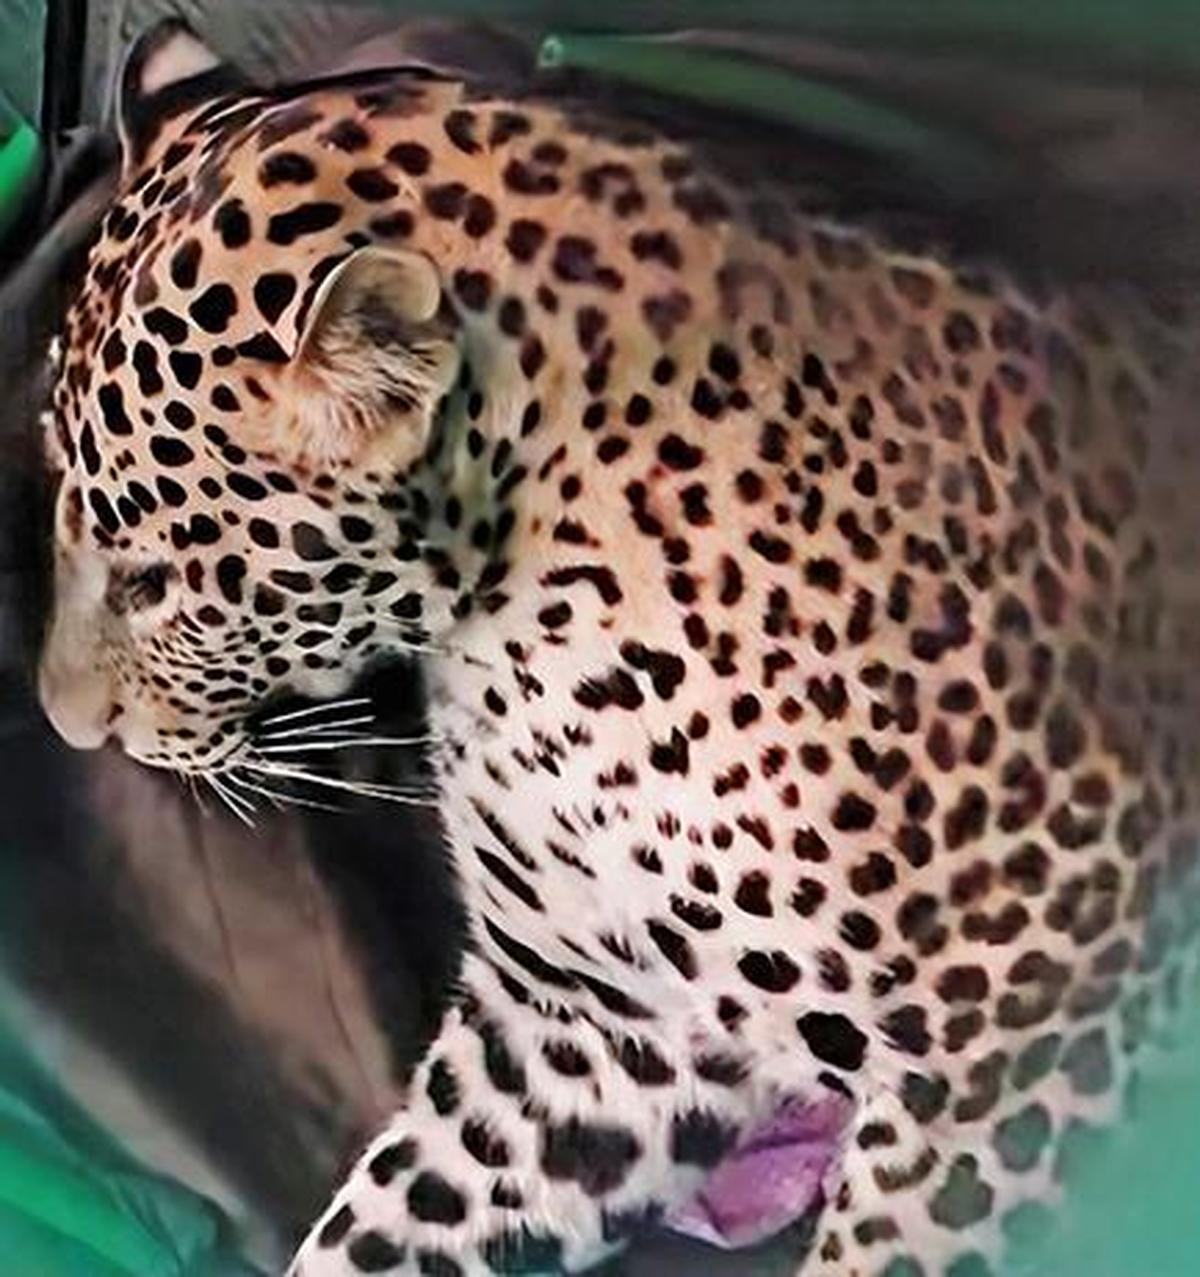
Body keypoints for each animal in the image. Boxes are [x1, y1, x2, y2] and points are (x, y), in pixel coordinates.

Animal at [35, 18, 1200, 1277]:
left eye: (154, 577)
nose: (60, 725)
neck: (539, 640)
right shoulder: (589, 1029)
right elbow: (389, 1222)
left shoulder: (1022, 1059)